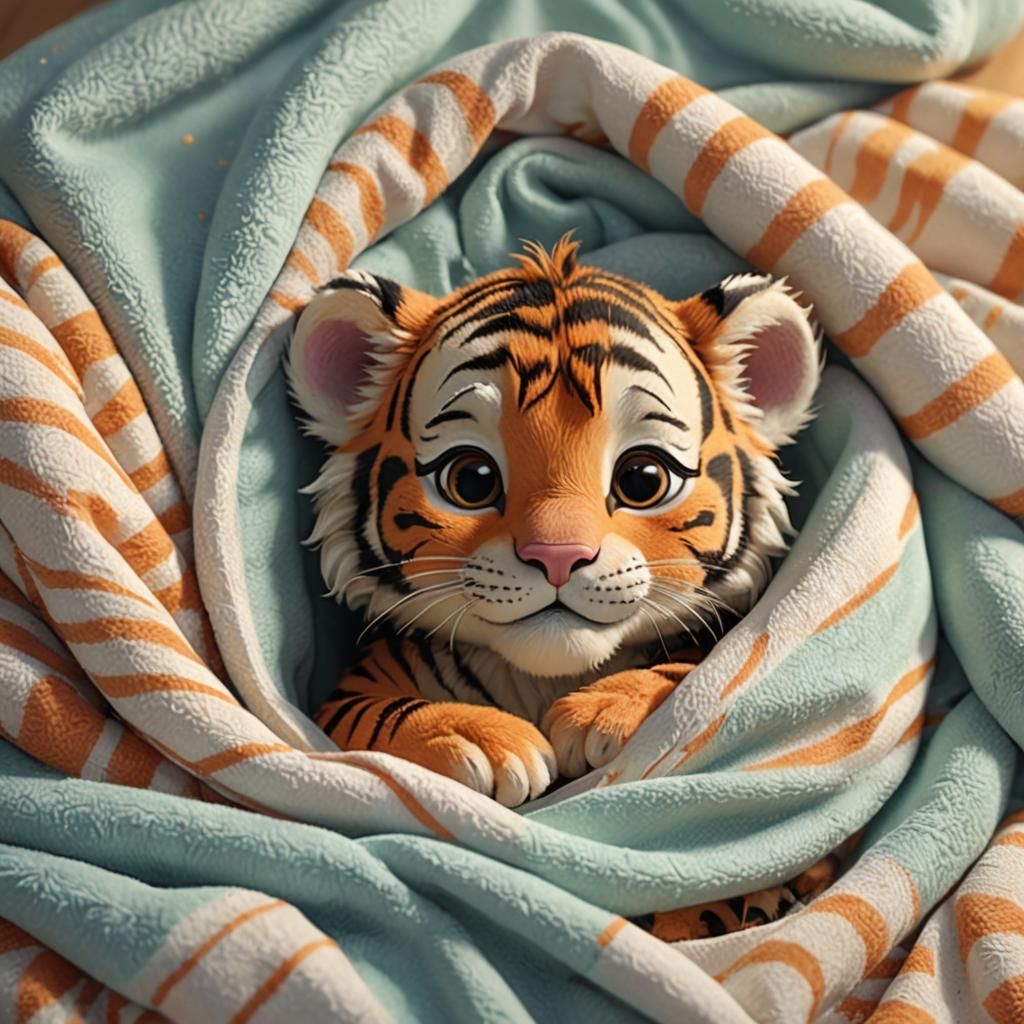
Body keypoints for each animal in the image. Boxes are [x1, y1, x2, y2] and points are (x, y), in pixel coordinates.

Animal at [287, 234, 819, 811]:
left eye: (643, 479)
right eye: (471, 479)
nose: (558, 556)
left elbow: (684, 673)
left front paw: (603, 715)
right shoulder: (349, 695)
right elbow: (382, 713)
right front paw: (481, 740)